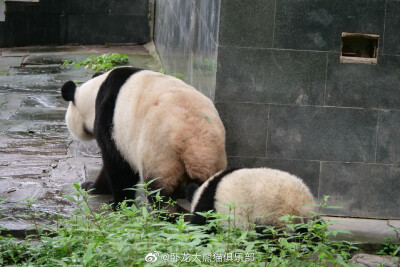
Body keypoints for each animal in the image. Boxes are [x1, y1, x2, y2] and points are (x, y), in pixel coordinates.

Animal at [61, 66, 227, 209]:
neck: (93, 93)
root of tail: (194, 143)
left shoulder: (111, 124)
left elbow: (117, 165)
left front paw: (114, 201)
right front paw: (91, 187)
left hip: (160, 151)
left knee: (159, 192)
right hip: (215, 158)